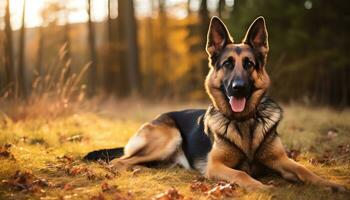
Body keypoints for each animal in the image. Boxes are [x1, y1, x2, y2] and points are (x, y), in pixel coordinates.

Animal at [85, 16, 344, 191]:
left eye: (249, 64)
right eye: (228, 63)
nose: (238, 87)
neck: (244, 122)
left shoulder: (280, 160)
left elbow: (302, 169)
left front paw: (329, 183)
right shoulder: (216, 166)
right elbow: (242, 175)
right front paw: (260, 187)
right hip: (169, 137)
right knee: (119, 161)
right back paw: (139, 168)